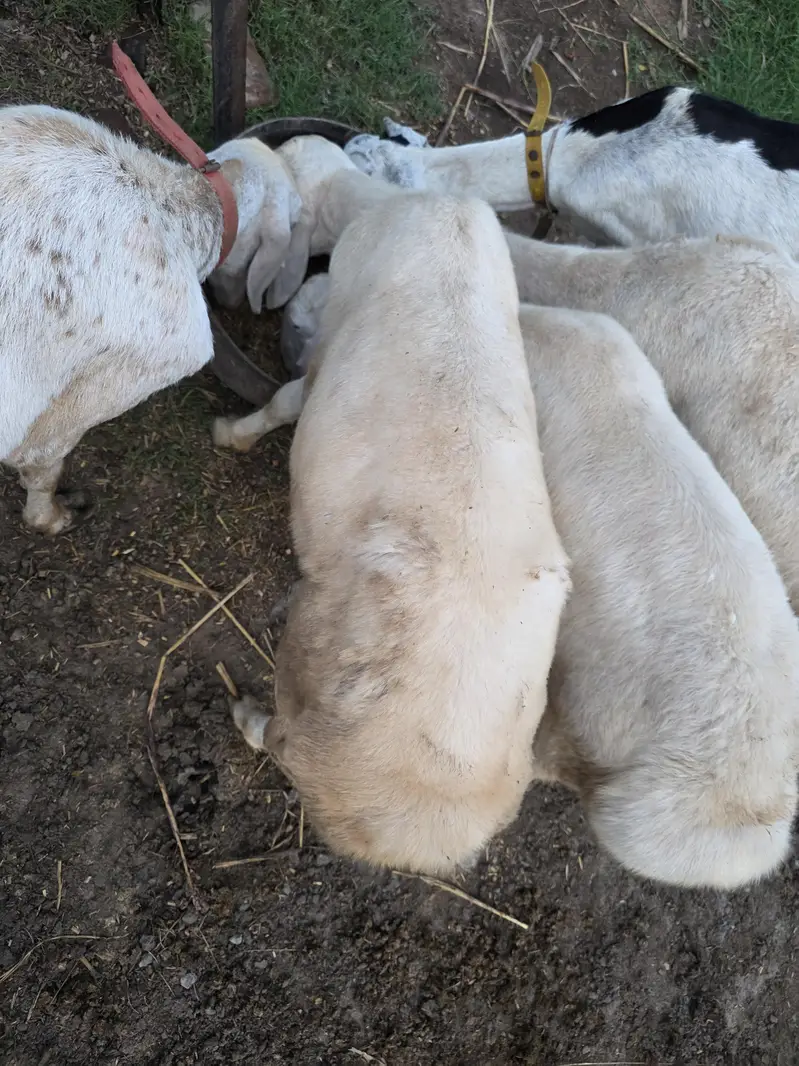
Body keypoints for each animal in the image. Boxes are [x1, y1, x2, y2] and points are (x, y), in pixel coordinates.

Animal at [214, 139, 571, 875]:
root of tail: (425, 828)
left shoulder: (323, 355)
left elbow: (285, 403)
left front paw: (232, 433)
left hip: (309, 694)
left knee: (279, 739)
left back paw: (247, 717)